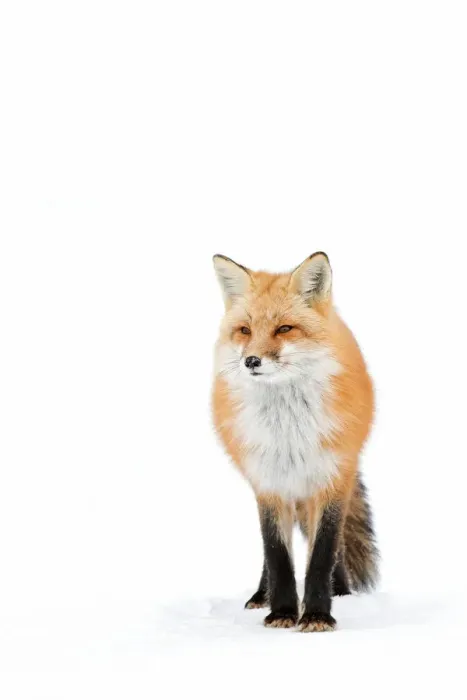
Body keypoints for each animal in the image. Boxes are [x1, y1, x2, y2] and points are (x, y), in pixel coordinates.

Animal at [212, 252, 378, 632]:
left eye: (284, 329)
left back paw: (340, 590)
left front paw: (317, 614)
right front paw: (283, 611)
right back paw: (261, 596)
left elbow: (322, 554)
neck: (288, 432)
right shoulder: (269, 483)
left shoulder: (331, 478)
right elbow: (276, 555)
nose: (251, 360)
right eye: (245, 330)